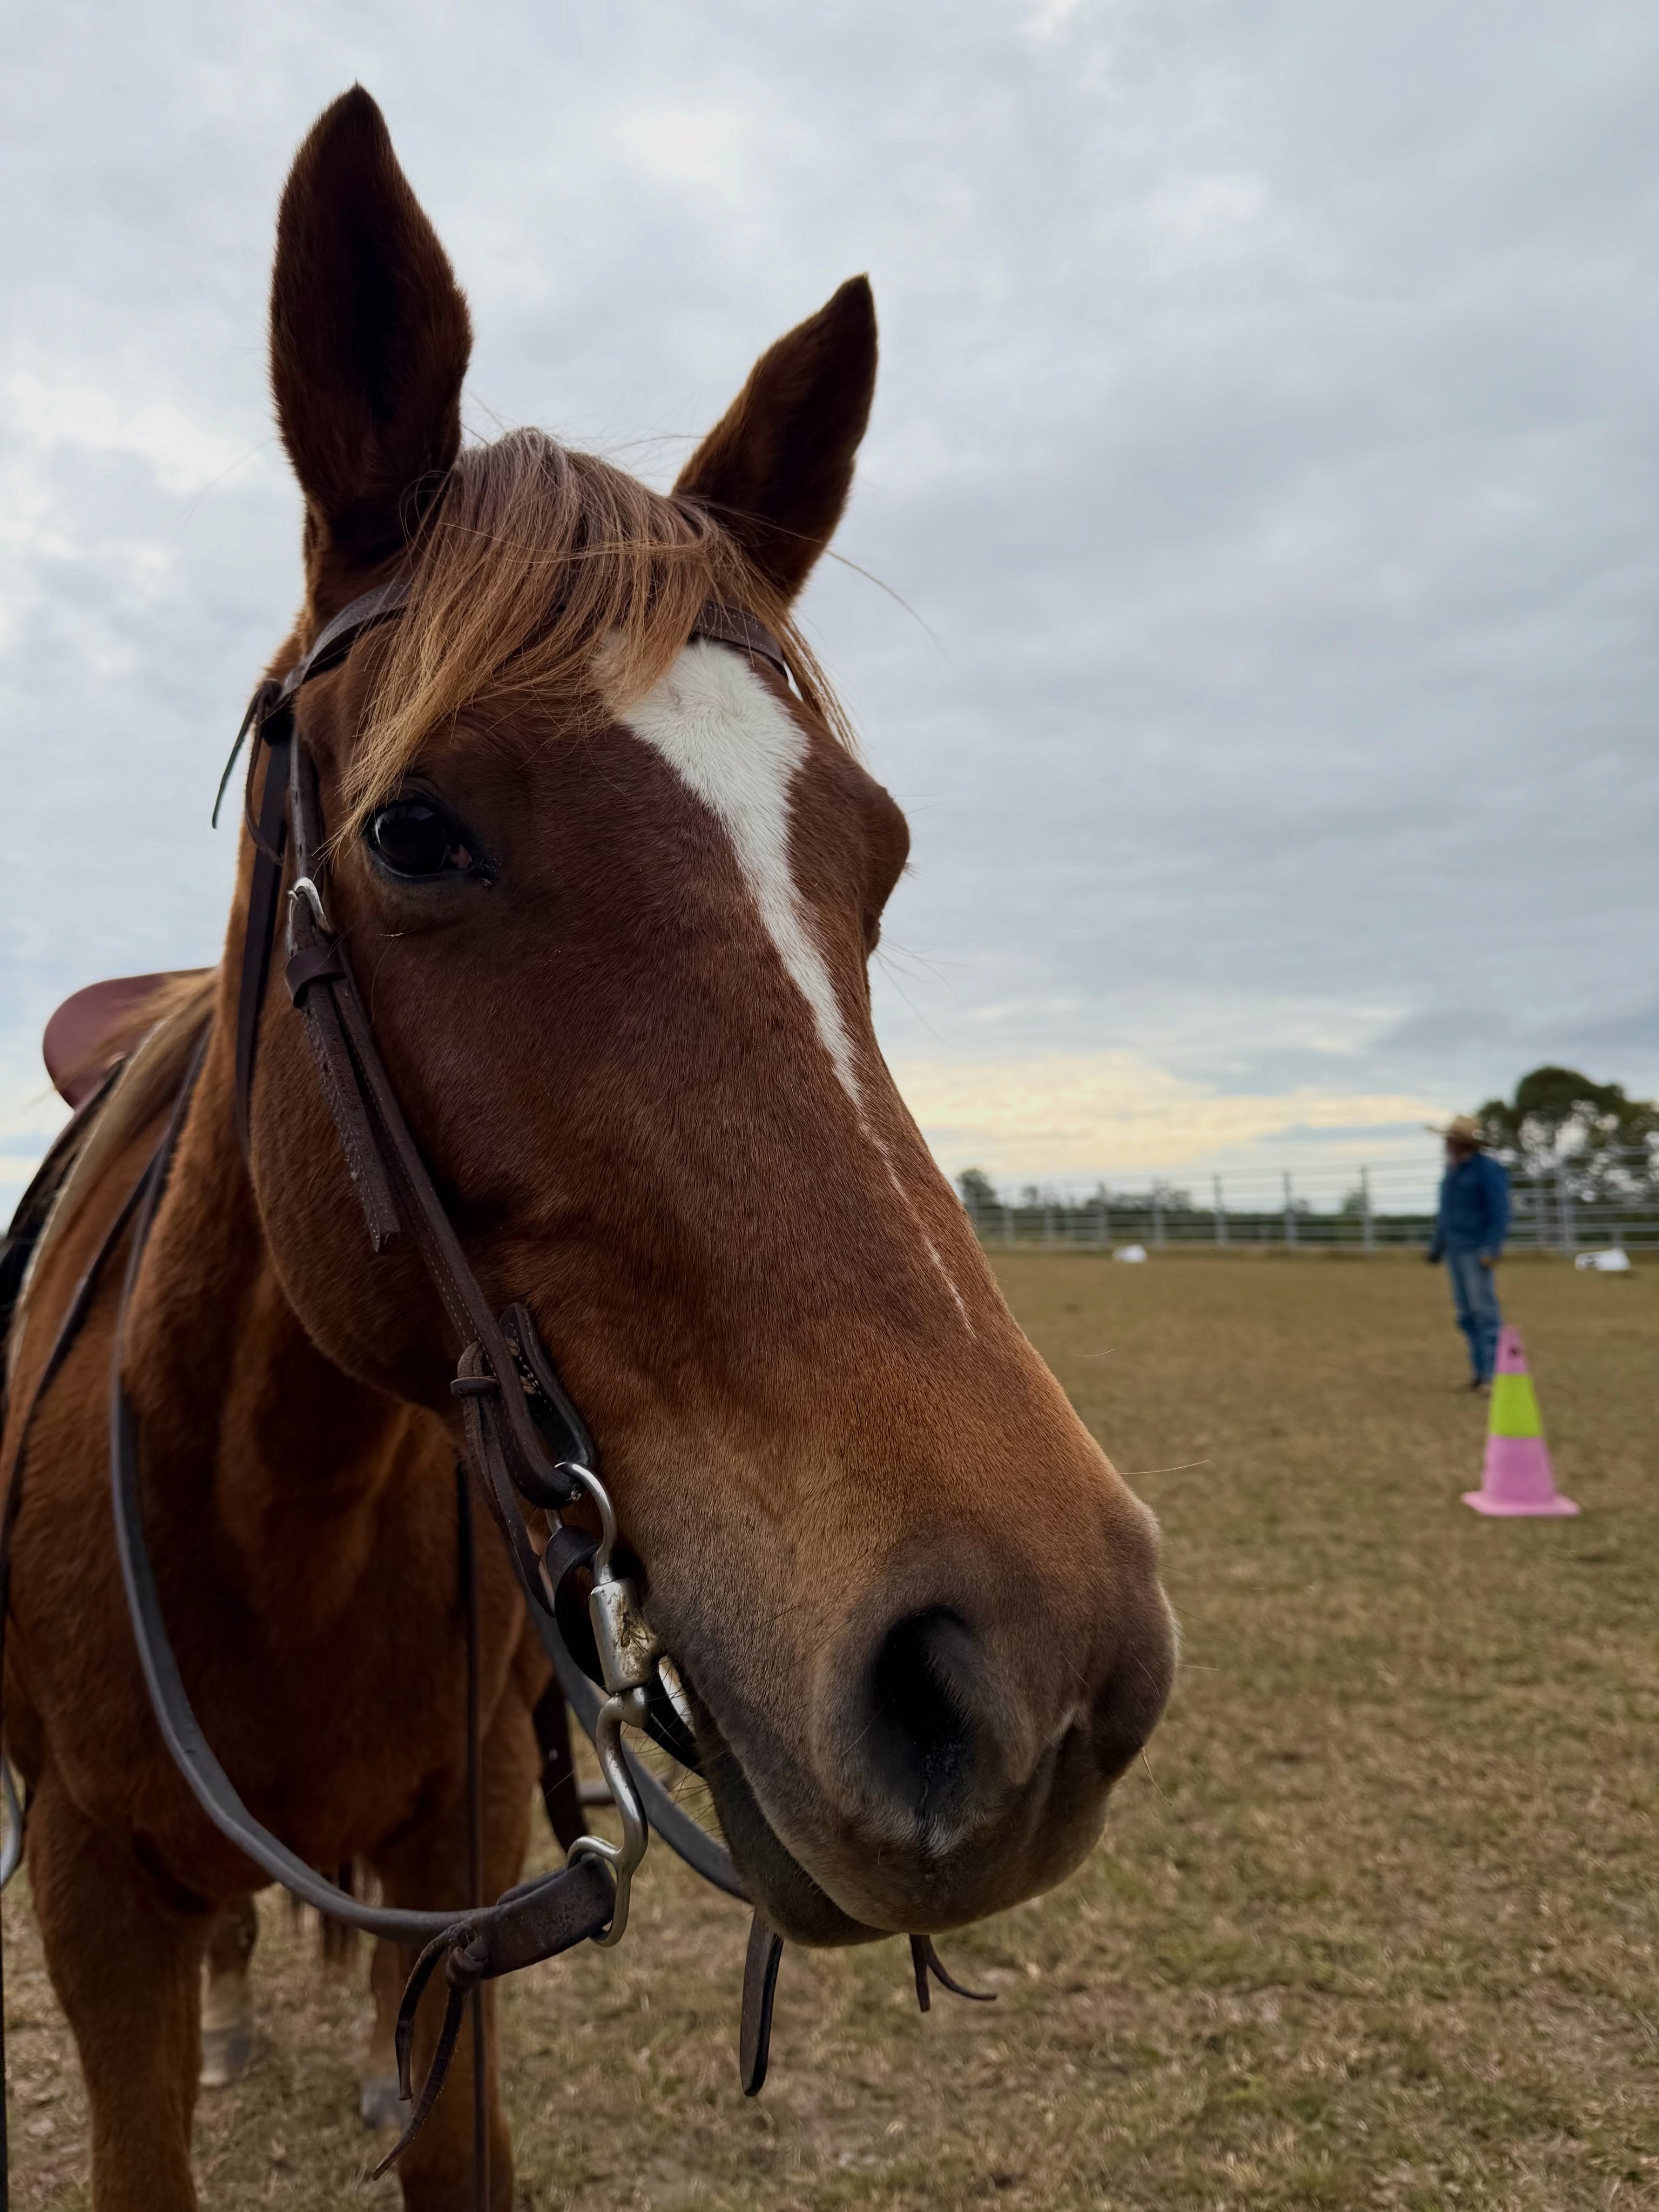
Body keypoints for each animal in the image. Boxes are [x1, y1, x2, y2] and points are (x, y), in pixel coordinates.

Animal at [0, 86, 1176, 2209]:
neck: (271, 1507)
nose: (1032, 1672)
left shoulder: (470, 1877)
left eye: (876, 858)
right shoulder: (91, 1896)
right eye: (416, 833)